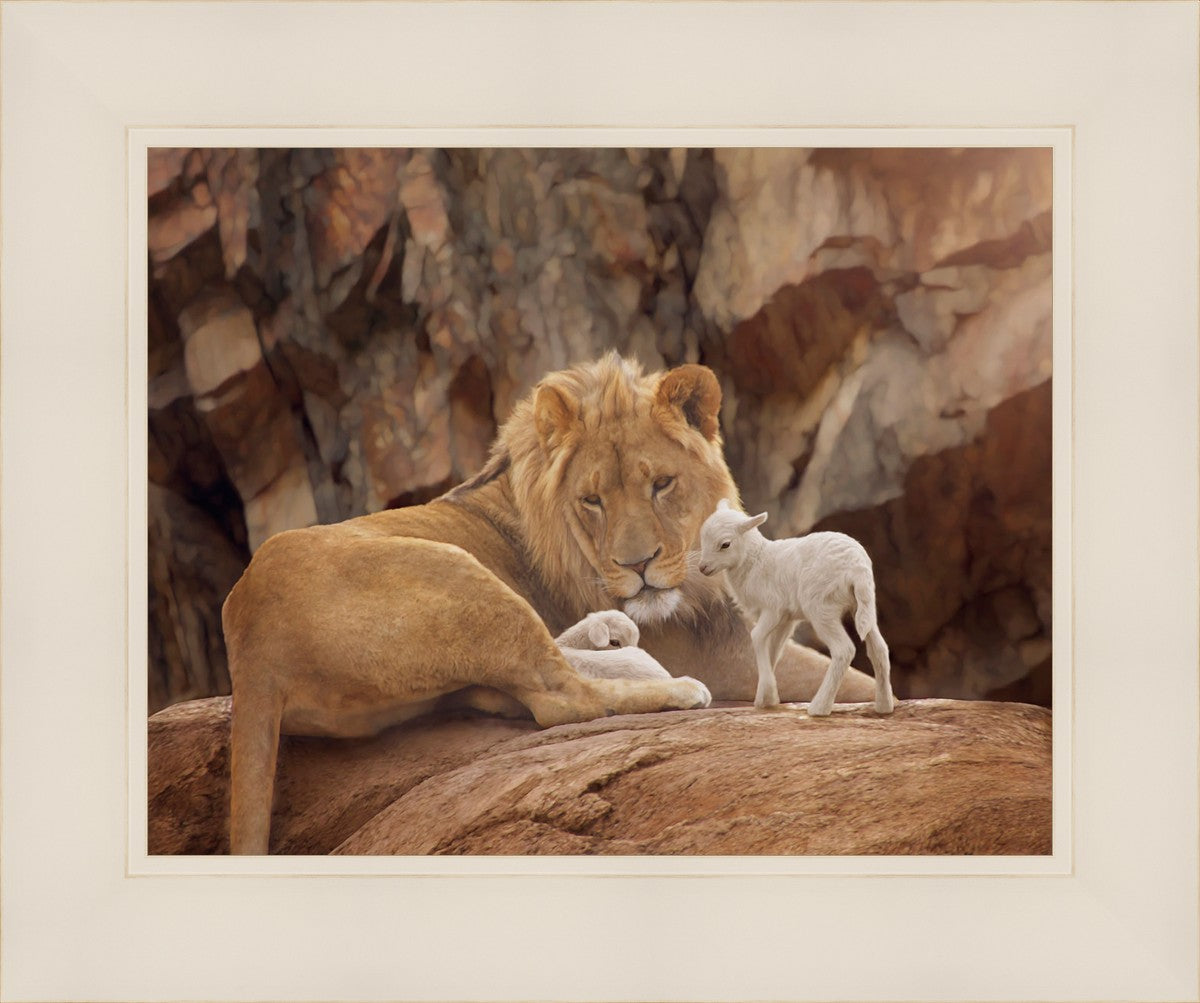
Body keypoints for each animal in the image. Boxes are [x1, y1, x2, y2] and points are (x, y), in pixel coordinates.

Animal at [697, 499, 895, 717]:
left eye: (725, 544)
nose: (702, 568)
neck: (755, 561)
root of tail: (857, 567)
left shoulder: (773, 609)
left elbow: (757, 637)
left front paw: (768, 694)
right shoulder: (786, 618)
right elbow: (774, 649)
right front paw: (766, 698)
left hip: (821, 607)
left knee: (844, 650)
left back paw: (819, 707)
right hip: (864, 605)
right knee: (879, 648)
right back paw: (884, 706)